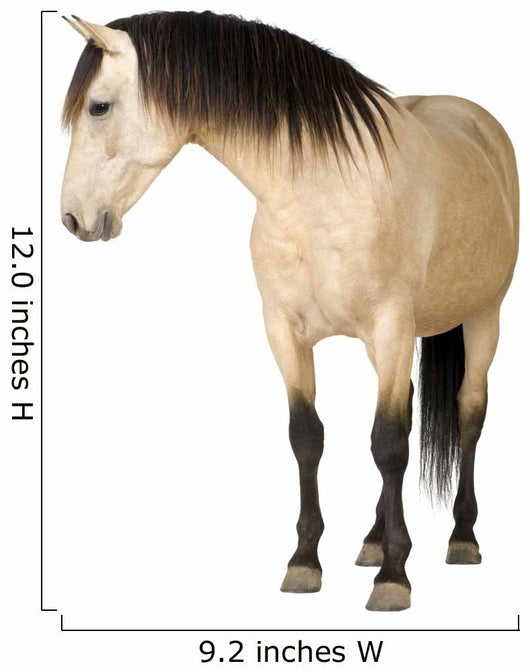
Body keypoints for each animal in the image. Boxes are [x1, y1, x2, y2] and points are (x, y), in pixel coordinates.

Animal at [60, 10, 519, 611]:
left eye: (98, 107)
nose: (72, 218)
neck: (322, 193)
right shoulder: (286, 333)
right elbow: (308, 437)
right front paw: (305, 561)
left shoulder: (392, 327)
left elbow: (389, 442)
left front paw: (394, 576)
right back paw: (373, 538)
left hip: (483, 317)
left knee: (468, 414)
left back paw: (462, 537)